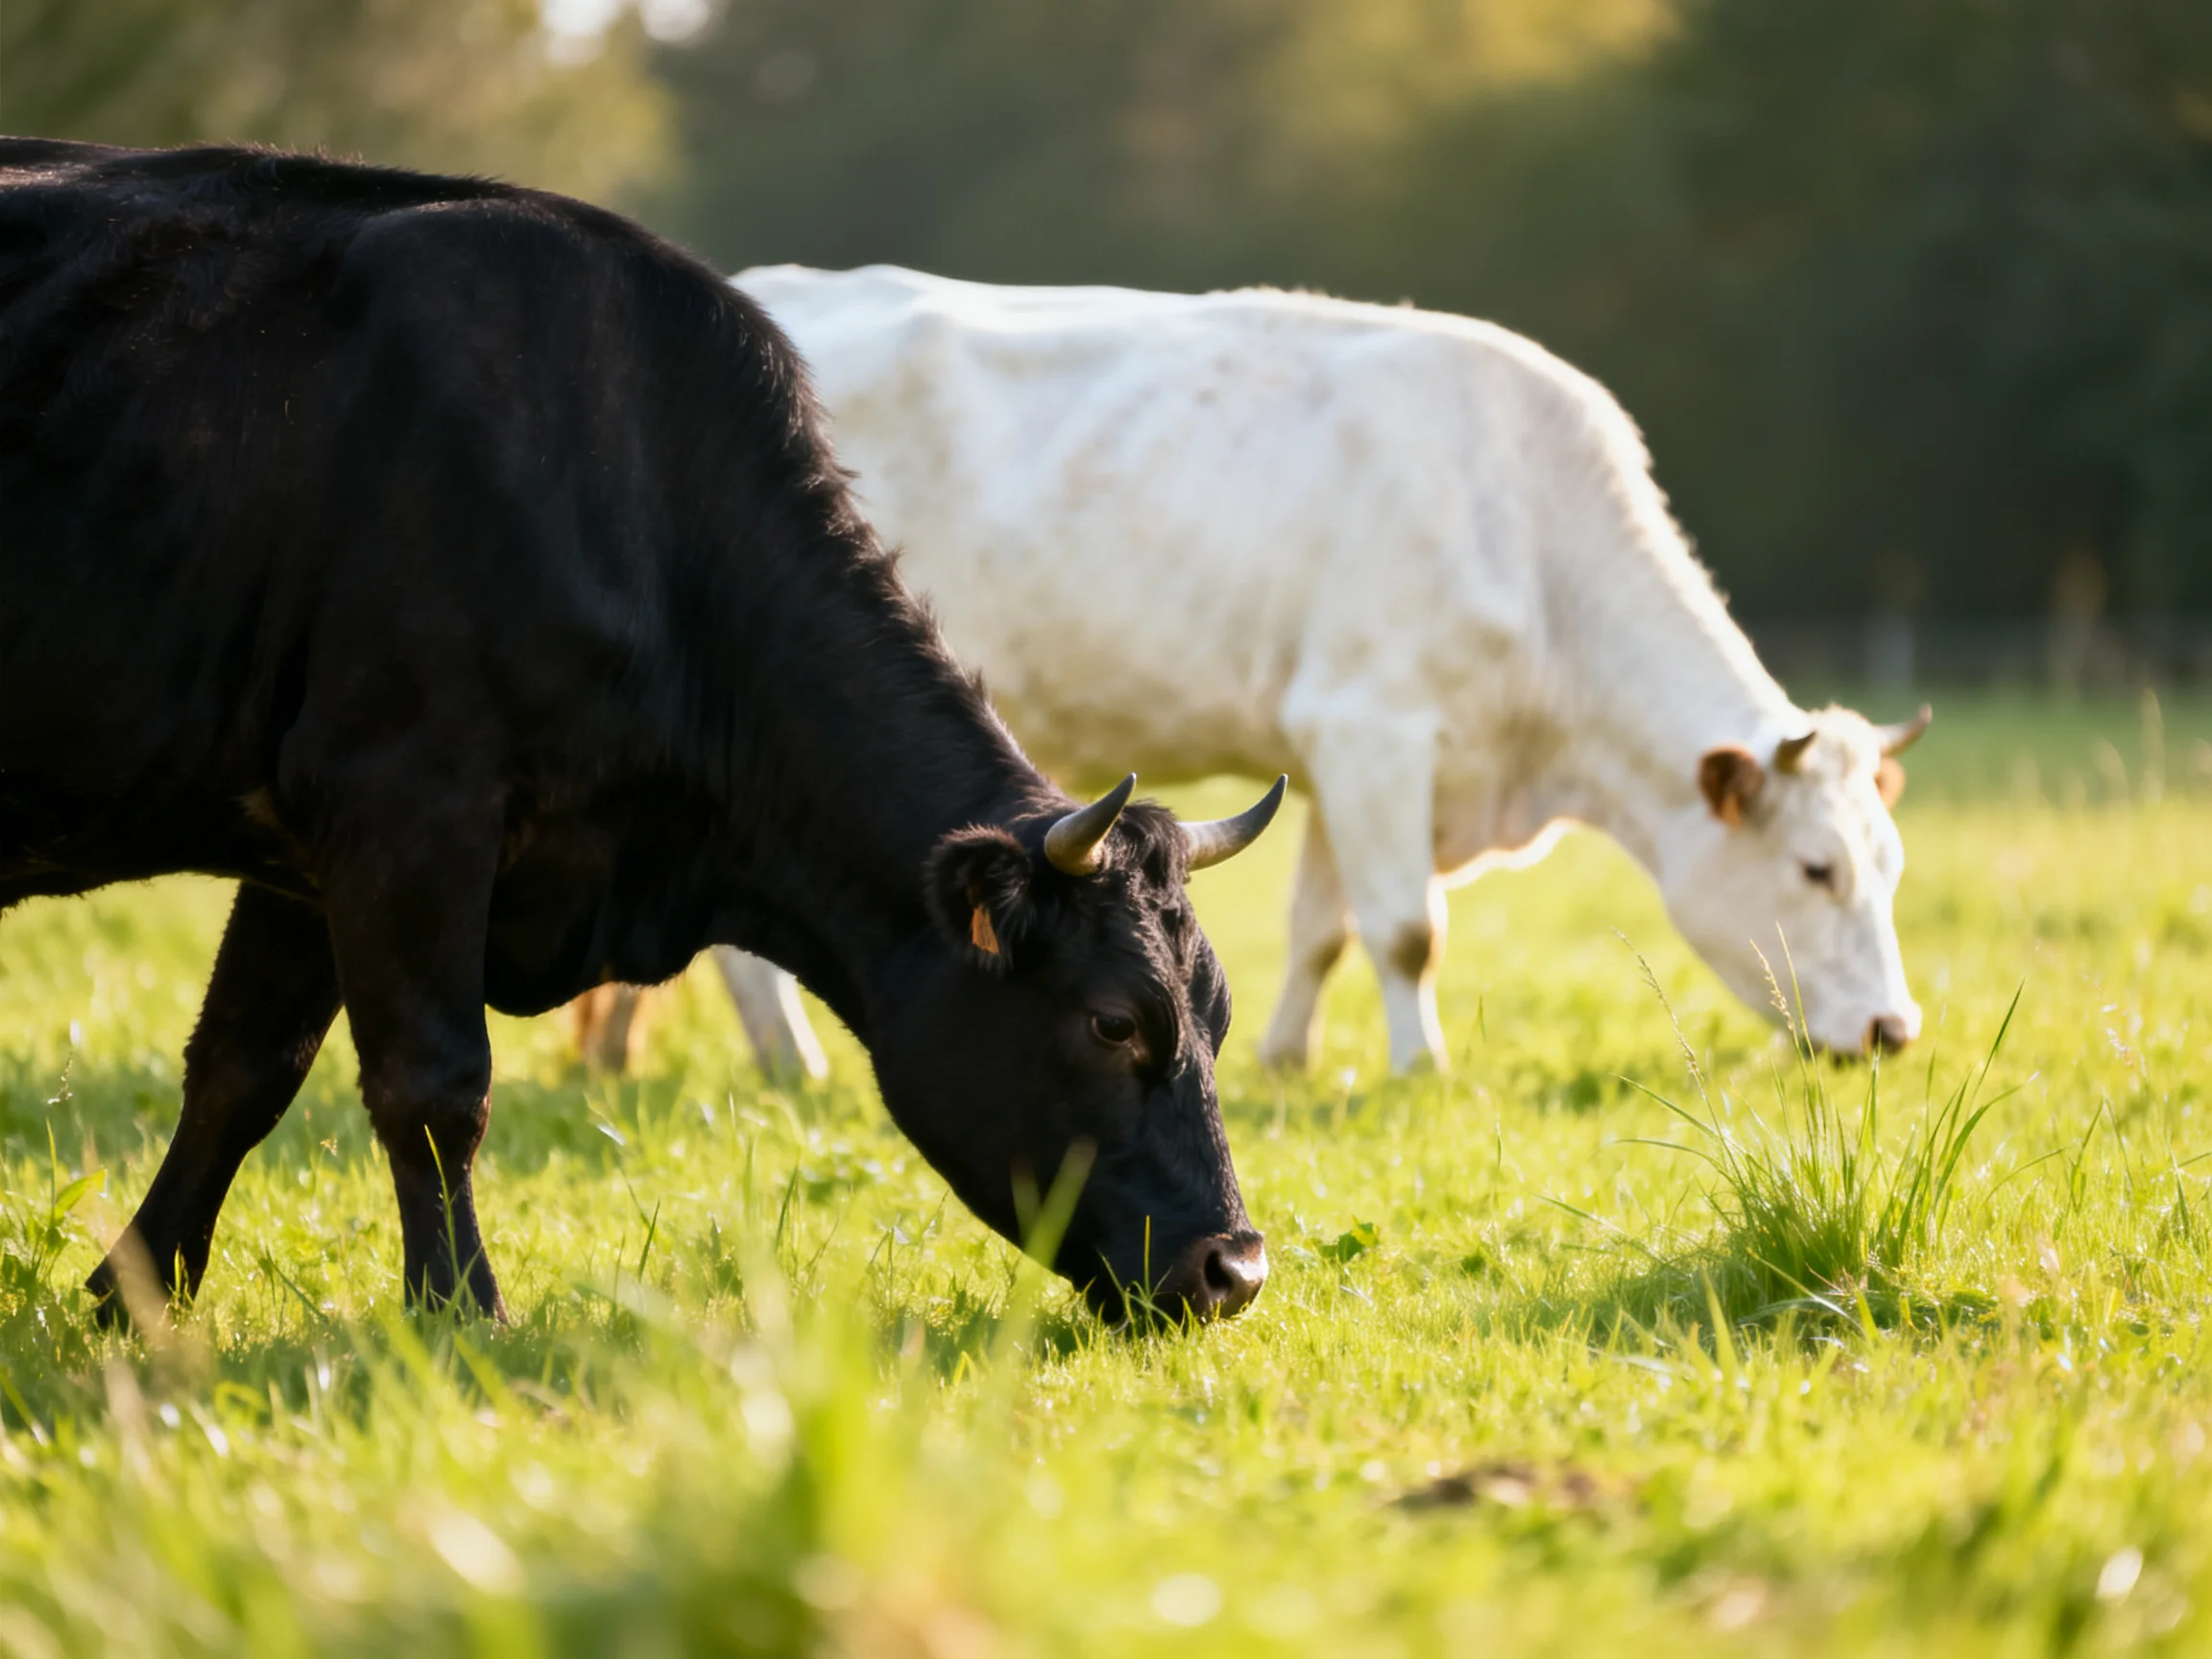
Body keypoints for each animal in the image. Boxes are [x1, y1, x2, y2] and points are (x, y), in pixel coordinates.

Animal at [0, 143, 1285, 1325]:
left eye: (1218, 1011)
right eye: (1113, 1022)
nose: (1235, 1268)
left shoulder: (301, 851)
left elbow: (239, 1070)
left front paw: (131, 1298)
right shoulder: (401, 799)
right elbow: (433, 1085)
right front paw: (462, 1314)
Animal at [682, 265, 1930, 1077]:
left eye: (1892, 866)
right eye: (1816, 870)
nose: (1895, 1031)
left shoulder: (1339, 754)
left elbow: (1324, 928)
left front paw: (1287, 1056)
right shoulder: (1373, 724)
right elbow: (1407, 929)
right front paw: (1421, 1070)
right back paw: (795, 1067)